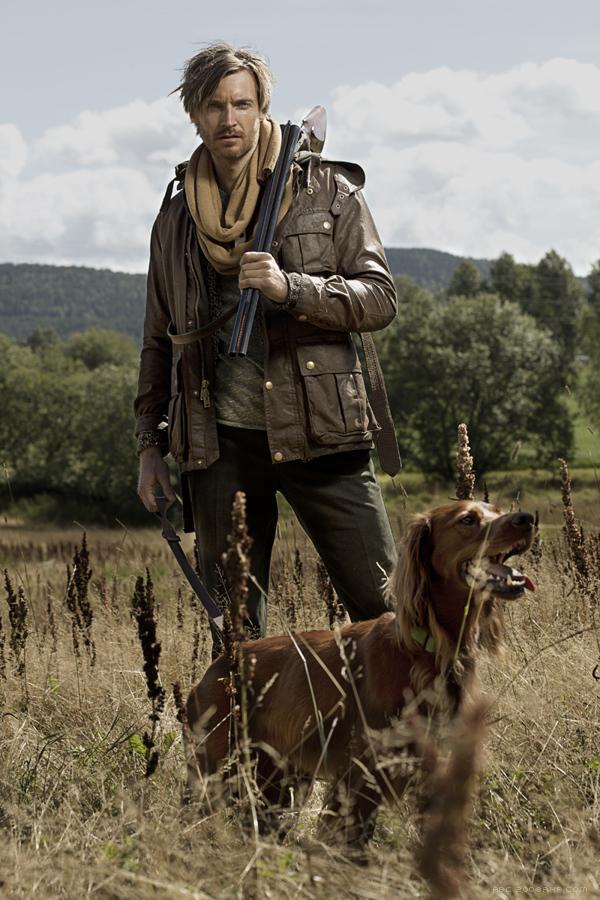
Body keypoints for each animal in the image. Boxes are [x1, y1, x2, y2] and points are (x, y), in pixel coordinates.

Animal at [184, 500, 535, 846]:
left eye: (496, 510)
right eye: (467, 520)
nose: (527, 518)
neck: (428, 648)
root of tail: (222, 661)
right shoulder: (359, 777)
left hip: (278, 779)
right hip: (217, 770)